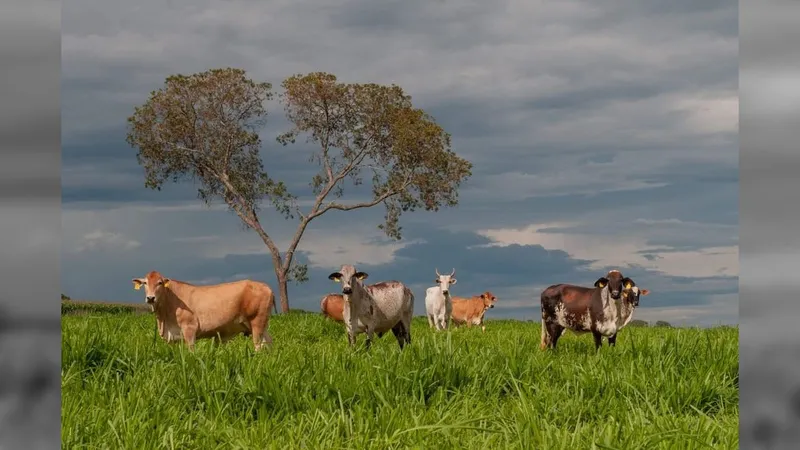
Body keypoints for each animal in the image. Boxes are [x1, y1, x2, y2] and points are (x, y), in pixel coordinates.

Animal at [131, 270, 276, 352]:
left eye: (160, 283)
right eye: (145, 283)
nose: (150, 298)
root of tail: (265, 286)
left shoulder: (189, 329)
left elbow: (191, 351)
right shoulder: (172, 337)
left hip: (257, 322)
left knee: (258, 345)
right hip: (262, 324)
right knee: (268, 342)